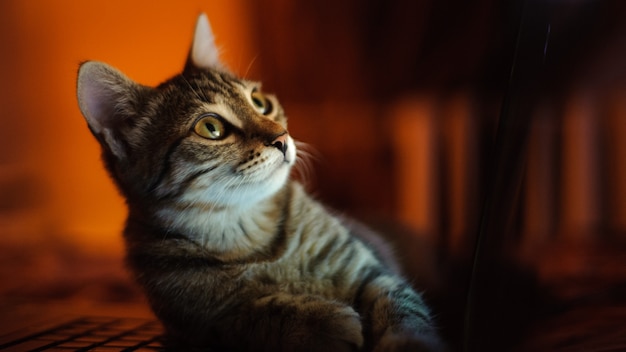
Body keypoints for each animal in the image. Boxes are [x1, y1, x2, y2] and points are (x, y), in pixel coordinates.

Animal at [75, 13, 442, 352]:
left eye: (260, 102)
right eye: (211, 128)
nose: (282, 138)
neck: (252, 231)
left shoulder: (373, 271)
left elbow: (403, 309)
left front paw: (410, 342)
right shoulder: (199, 323)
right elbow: (254, 310)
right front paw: (322, 320)